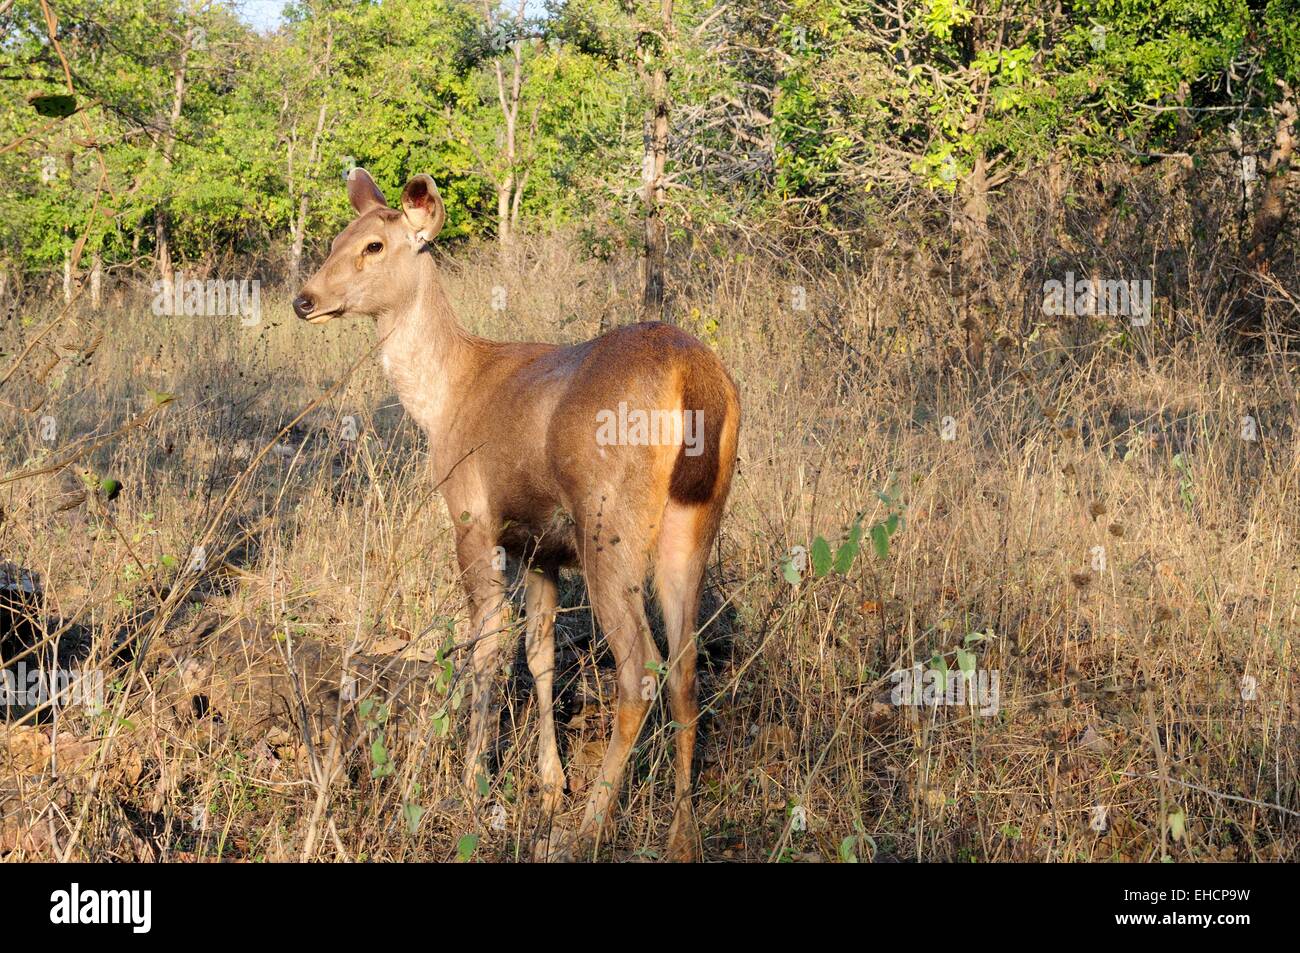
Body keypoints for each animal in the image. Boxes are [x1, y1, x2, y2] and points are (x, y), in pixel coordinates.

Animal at [296, 167, 743, 858]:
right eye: (339, 235)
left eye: (374, 245)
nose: (306, 298)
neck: (444, 398)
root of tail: (694, 377)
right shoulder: (541, 548)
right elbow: (538, 655)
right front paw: (550, 783)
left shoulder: (474, 518)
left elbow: (486, 646)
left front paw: (472, 787)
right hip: (691, 526)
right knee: (686, 664)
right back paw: (681, 832)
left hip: (608, 523)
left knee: (639, 665)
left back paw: (589, 826)